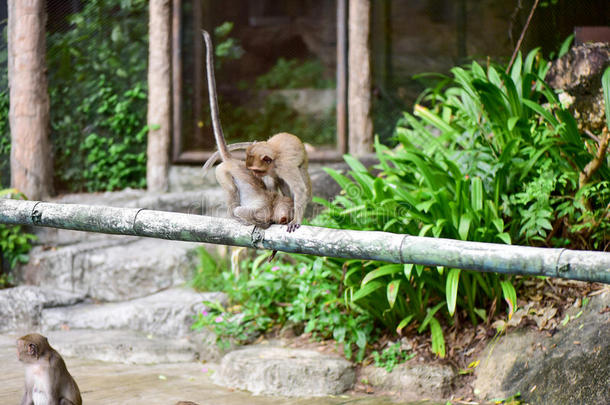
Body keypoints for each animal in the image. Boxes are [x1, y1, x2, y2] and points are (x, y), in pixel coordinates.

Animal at [201, 29, 294, 227]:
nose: (288, 220)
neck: (273, 202)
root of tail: (231, 160)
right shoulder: (263, 211)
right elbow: (247, 213)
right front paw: (258, 223)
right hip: (222, 173)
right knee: (232, 194)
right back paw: (233, 214)